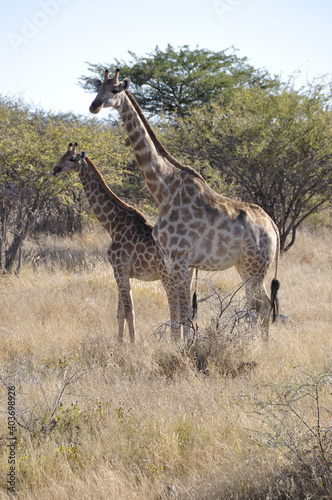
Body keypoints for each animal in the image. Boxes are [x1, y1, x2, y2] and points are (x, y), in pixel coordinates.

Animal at [52, 143, 192, 342]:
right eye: (62, 156)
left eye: (71, 159)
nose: (55, 169)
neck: (112, 224)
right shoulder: (119, 271)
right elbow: (120, 313)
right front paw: (120, 342)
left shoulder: (120, 269)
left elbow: (129, 311)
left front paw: (133, 342)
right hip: (187, 276)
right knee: (188, 310)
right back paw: (187, 340)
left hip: (168, 275)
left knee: (176, 309)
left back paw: (175, 342)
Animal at [89, 69, 280, 340]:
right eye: (97, 88)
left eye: (115, 90)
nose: (94, 106)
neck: (163, 190)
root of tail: (274, 227)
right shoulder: (174, 261)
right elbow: (180, 311)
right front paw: (181, 345)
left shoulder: (178, 258)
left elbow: (183, 311)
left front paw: (184, 347)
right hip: (246, 266)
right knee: (261, 304)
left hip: (255, 266)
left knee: (259, 305)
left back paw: (254, 345)